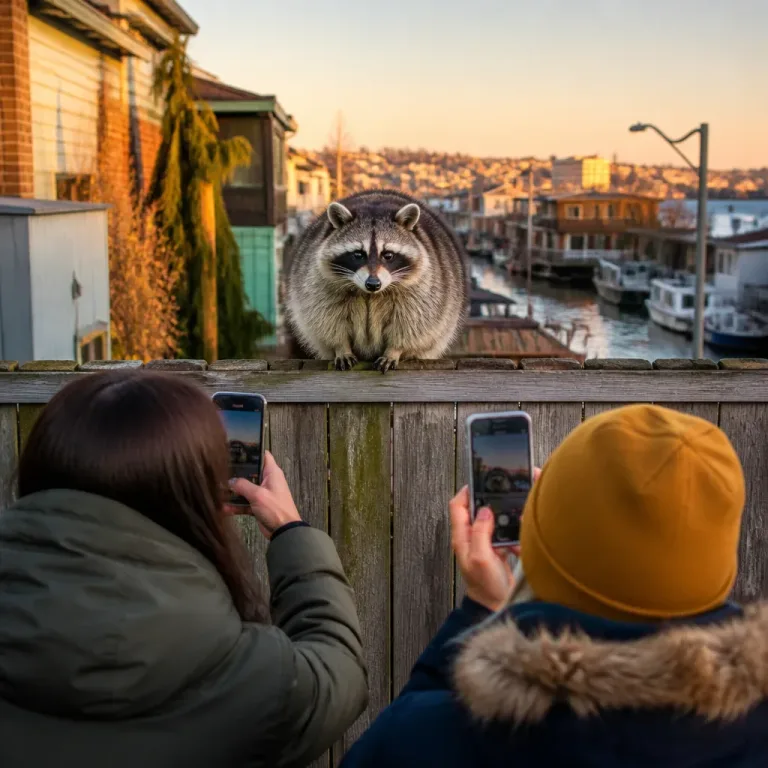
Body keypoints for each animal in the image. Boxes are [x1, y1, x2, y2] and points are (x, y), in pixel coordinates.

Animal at [286, 189, 468, 372]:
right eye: (358, 254)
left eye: (388, 255)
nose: (373, 284)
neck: (370, 294)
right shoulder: (319, 283)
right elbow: (327, 319)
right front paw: (341, 348)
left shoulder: (423, 287)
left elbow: (411, 323)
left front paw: (394, 350)